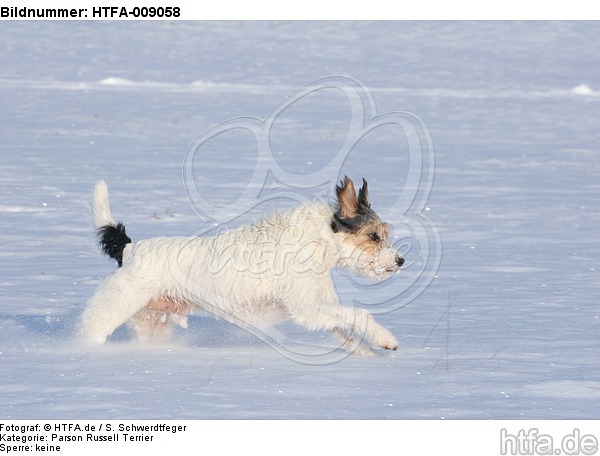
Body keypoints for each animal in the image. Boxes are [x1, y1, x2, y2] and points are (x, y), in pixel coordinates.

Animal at [78, 176, 404, 354]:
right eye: (374, 236)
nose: (400, 261)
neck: (319, 237)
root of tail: (129, 249)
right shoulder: (306, 309)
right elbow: (359, 315)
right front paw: (386, 339)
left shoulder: (318, 307)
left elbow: (346, 330)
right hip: (108, 313)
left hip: (151, 323)